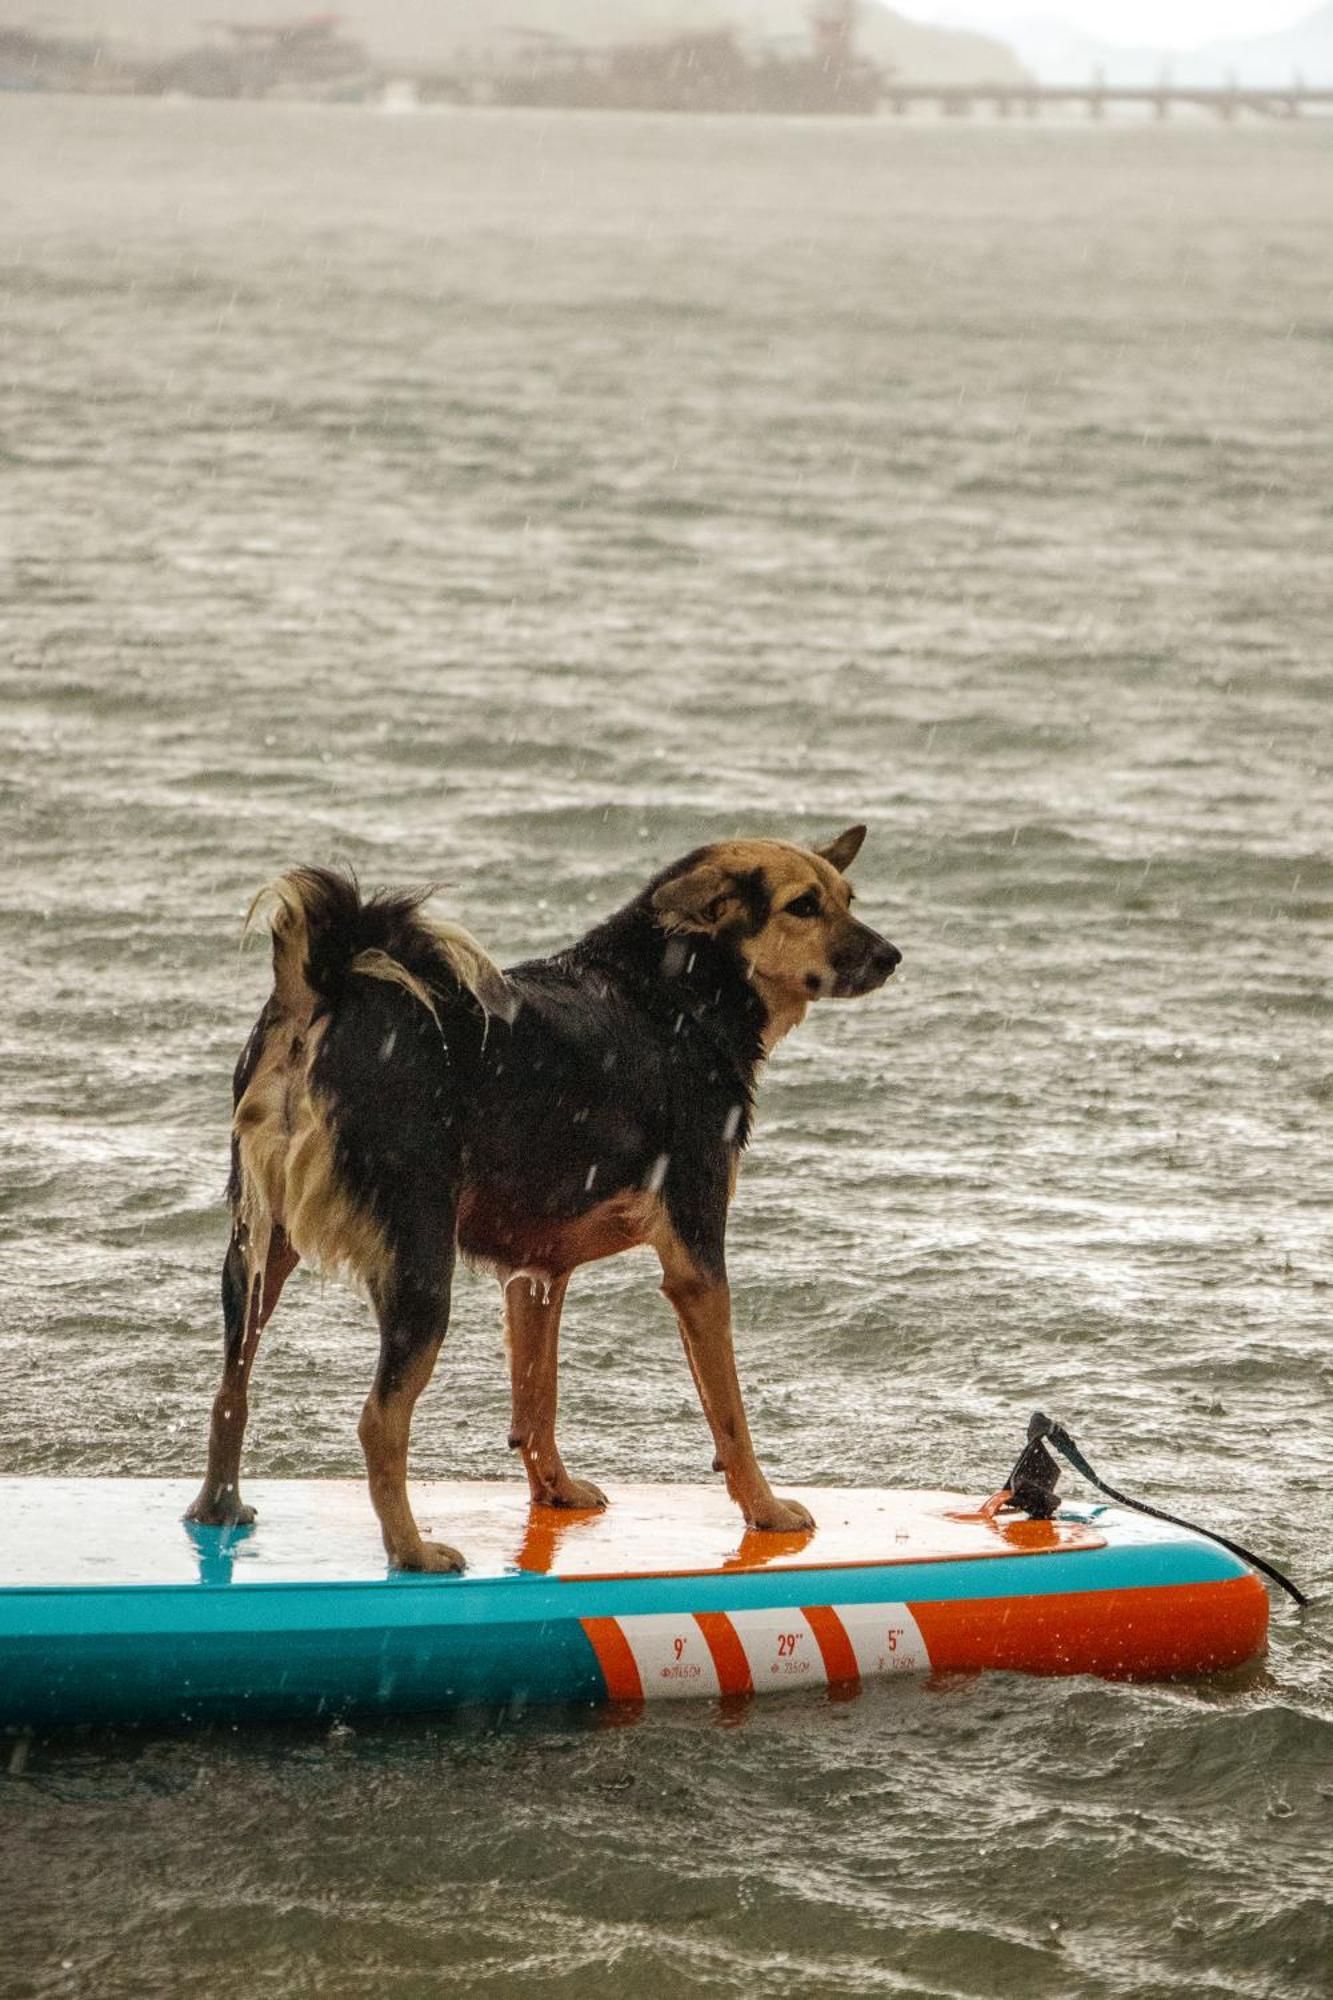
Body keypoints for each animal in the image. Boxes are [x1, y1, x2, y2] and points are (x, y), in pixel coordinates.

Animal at [187, 824, 896, 1560]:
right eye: (802, 906)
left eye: (847, 899)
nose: (891, 956)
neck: (674, 995)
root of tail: (323, 991)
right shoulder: (696, 1257)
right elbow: (728, 1411)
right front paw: (763, 1508)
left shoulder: (535, 1273)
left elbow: (537, 1397)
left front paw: (554, 1491)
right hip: (418, 1264)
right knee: (378, 1420)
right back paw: (413, 1551)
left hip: (257, 1252)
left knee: (229, 1391)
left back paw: (218, 1508)